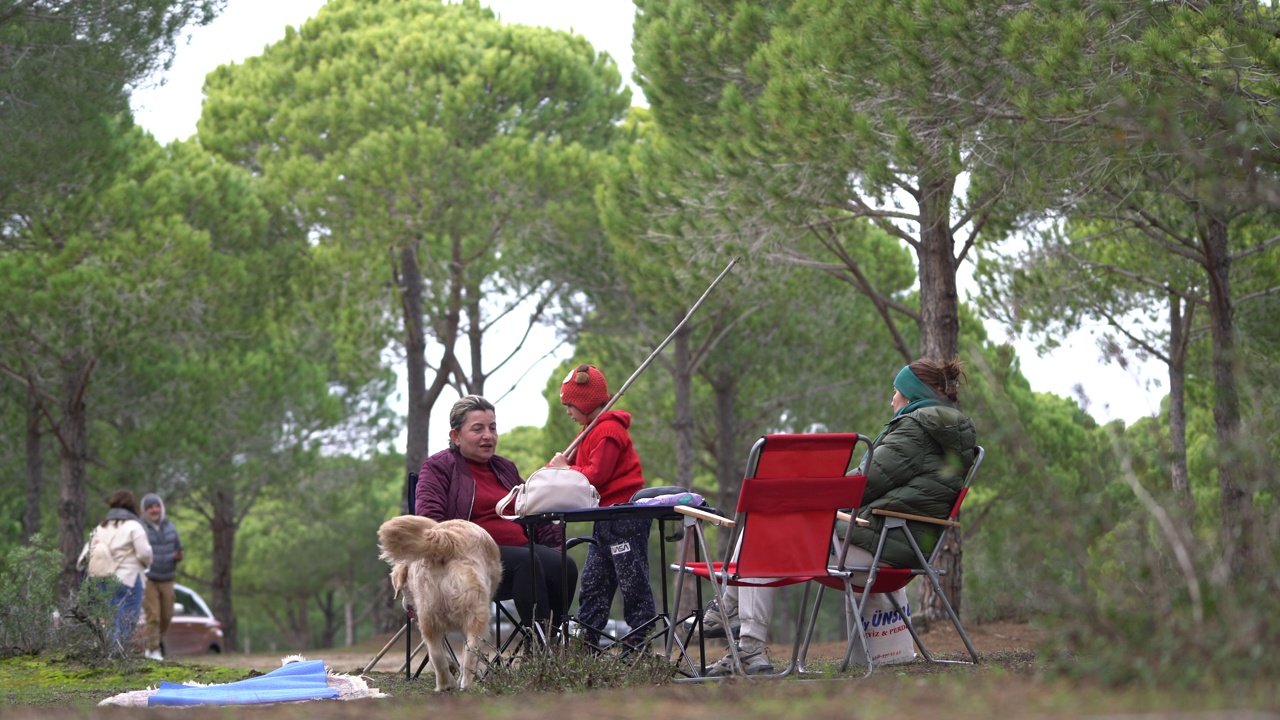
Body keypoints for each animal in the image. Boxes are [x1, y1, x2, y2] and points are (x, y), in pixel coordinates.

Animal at [373, 512, 499, 686]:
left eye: (404, 588)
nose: (407, 608)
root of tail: (446, 540)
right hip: (476, 614)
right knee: (471, 652)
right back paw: (466, 685)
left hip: (428, 616)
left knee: (435, 654)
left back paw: (446, 685)